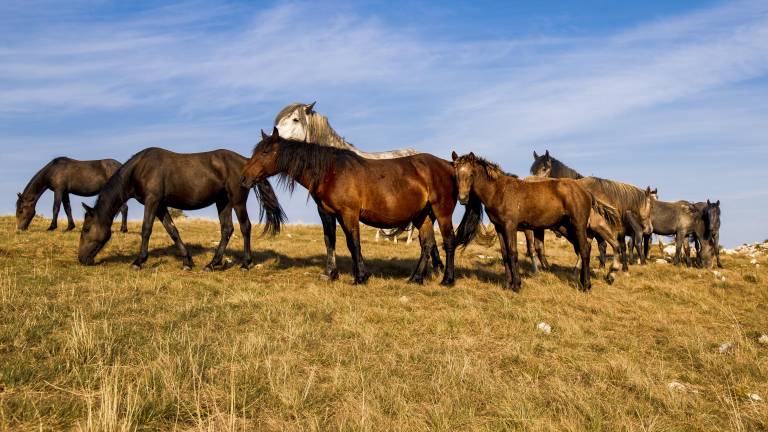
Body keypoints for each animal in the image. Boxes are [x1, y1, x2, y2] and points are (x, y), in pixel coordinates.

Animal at [78, 148, 285, 271]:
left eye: (86, 229)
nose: (81, 259)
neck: (140, 169)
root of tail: (246, 163)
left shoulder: (152, 201)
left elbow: (146, 229)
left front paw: (138, 261)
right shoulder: (160, 205)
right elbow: (172, 230)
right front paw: (187, 261)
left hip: (237, 200)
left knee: (245, 227)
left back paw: (246, 263)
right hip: (223, 202)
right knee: (227, 229)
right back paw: (212, 264)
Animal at [241, 128, 483, 285]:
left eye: (265, 152)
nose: (244, 178)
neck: (331, 171)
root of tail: (449, 166)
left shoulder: (349, 213)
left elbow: (353, 243)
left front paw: (360, 277)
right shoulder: (327, 213)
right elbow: (330, 241)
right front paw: (331, 274)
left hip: (442, 213)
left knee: (448, 242)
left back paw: (447, 279)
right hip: (422, 216)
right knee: (427, 244)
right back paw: (416, 278)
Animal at [452, 151, 615, 291]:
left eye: (471, 174)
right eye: (456, 174)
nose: (462, 199)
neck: (499, 191)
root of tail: (586, 192)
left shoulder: (510, 226)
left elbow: (513, 253)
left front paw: (517, 285)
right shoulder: (499, 228)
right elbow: (505, 254)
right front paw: (508, 284)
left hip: (578, 225)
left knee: (585, 249)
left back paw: (586, 285)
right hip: (566, 227)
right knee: (584, 247)